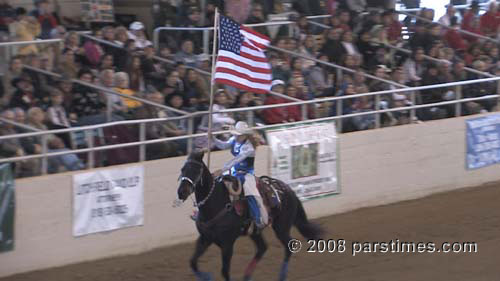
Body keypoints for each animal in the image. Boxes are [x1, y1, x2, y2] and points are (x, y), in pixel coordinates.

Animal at [177, 152, 324, 278]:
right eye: (182, 169)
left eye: (197, 170)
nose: (181, 192)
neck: (215, 203)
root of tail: (288, 189)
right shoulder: (205, 238)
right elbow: (193, 262)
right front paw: (207, 276)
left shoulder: (227, 244)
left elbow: (225, 272)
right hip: (255, 231)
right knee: (262, 248)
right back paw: (247, 276)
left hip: (281, 228)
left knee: (289, 247)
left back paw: (281, 276)